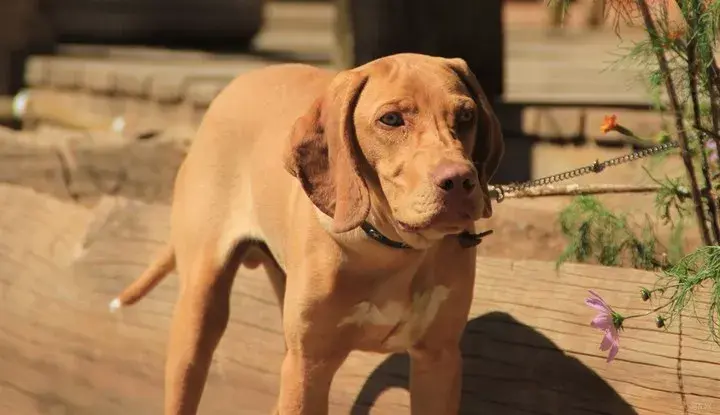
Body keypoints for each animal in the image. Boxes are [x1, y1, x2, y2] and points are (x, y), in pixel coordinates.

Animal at [112, 53, 504, 414]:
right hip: (198, 315)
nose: (460, 180)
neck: (391, 250)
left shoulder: (437, 360)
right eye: (391, 119)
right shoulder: (309, 366)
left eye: (466, 116)